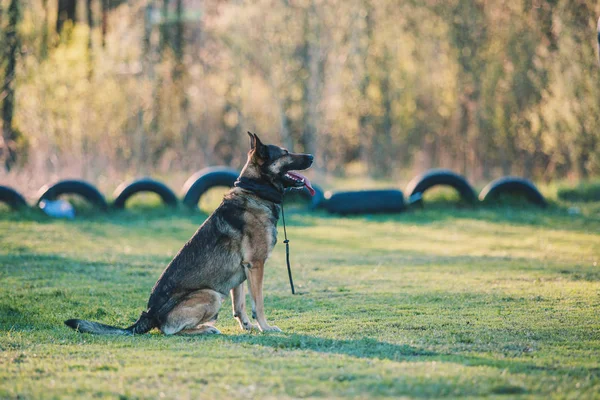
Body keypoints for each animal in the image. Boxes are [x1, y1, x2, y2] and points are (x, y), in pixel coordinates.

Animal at [65, 133, 316, 336]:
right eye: (285, 153)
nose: (312, 156)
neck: (256, 191)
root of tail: (149, 314)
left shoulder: (242, 271)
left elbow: (240, 305)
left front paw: (248, 327)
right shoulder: (256, 265)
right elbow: (258, 303)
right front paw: (266, 327)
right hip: (212, 294)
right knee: (170, 330)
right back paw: (206, 329)